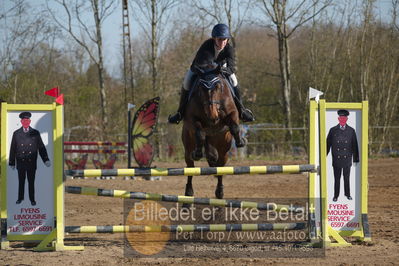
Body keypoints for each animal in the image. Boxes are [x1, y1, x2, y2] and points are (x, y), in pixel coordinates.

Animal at [182, 64, 247, 198]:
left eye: (218, 86)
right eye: (201, 88)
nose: (212, 115)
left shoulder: (232, 113)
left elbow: (234, 126)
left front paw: (240, 142)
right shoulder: (192, 118)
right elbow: (200, 133)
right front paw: (197, 153)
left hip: (224, 150)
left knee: (220, 167)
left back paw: (220, 192)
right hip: (188, 146)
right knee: (190, 167)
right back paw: (189, 191)